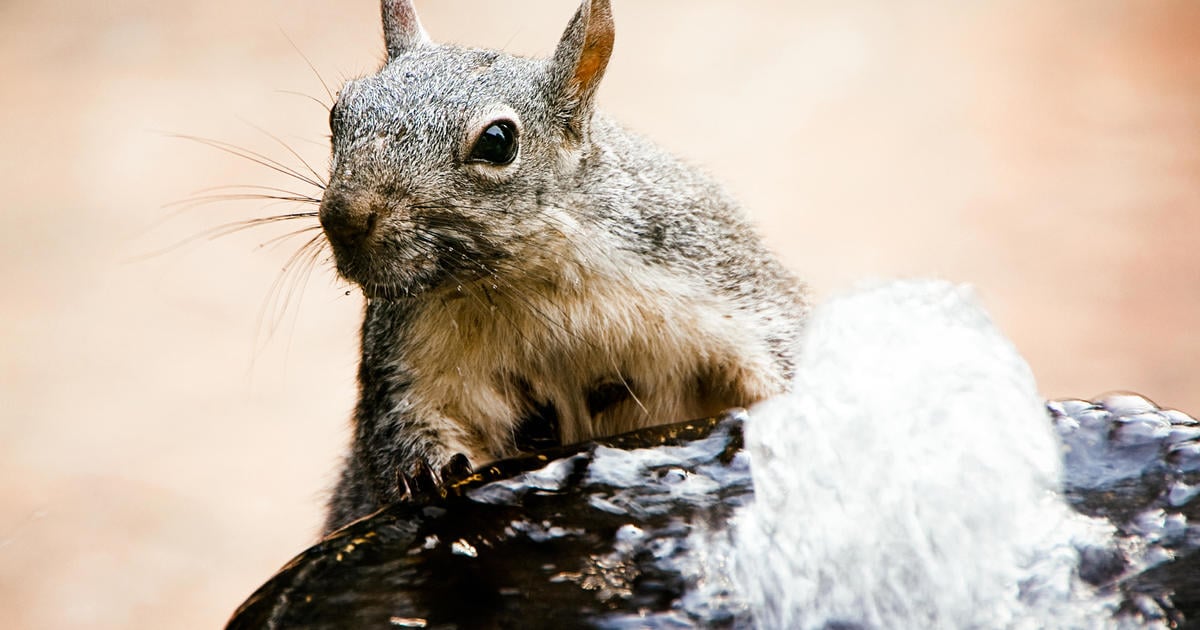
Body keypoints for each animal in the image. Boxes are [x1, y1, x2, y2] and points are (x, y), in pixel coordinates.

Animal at [320, 0, 808, 532]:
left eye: (498, 141)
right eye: (337, 113)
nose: (343, 216)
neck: (529, 278)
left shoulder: (719, 280)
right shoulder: (408, 355)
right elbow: (402, 423)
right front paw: (426, 471)